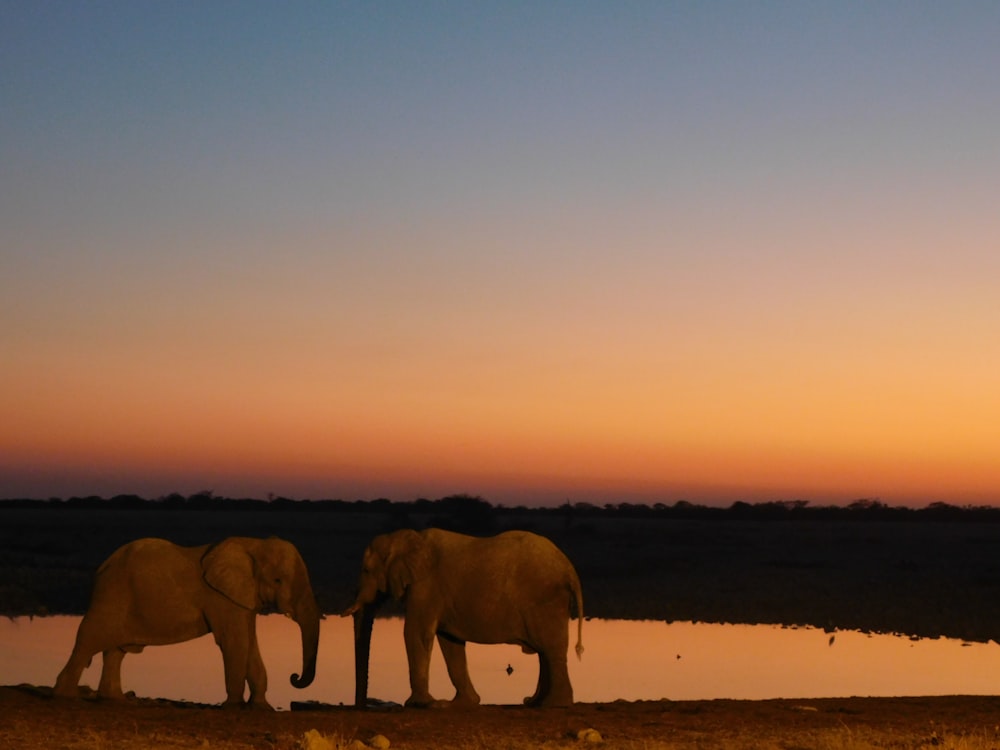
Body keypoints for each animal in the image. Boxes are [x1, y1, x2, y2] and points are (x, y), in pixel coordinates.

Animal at [52, 536, 318, 712]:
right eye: (278, 580)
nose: (294, 676)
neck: (255, 544)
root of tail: (102, 567)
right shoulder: (220, 596)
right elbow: (234, 641)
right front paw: (233, 706)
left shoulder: (242, 597)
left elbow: (249, 641)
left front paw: (261, 707)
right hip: (111, 596)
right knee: (88, 640)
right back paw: (66, 696)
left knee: (115, 651)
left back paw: (116, 700)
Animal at [342, 528, 584, 712]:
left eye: (366, 570)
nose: (362, 706)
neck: (407, 538)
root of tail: (570, 569)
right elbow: (450, 642)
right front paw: (459, 704)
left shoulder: (425, 586)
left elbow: (416, 632)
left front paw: (419, 704)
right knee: (545, 651)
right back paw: (533, 703)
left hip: (545, 598)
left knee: (550, 649)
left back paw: (553, 705)